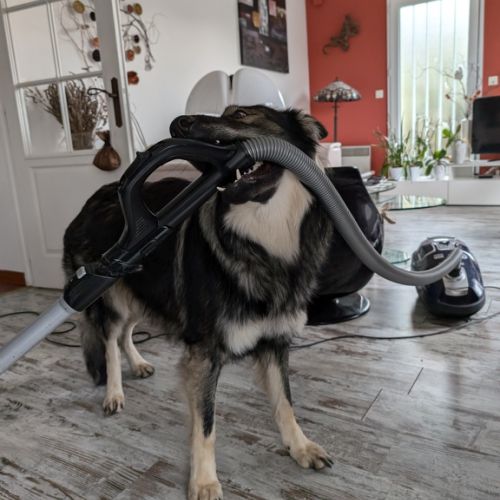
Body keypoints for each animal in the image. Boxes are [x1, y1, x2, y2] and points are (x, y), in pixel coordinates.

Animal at [63, 105, 334, 500]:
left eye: (241, 114)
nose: (178, 124)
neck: (264, 242)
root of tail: (92, 198)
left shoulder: (274, 343)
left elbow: (285, 402)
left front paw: (300, 447)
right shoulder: (204, 355)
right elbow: (205, 424)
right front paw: (204, 481)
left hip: (145, 297)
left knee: (127, 333)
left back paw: (138, 363)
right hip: (111, 296)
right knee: (110, 341)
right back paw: (114, 392)